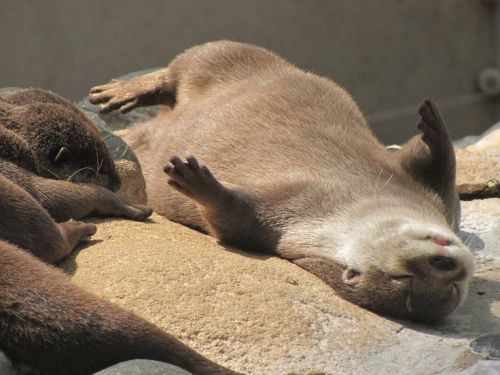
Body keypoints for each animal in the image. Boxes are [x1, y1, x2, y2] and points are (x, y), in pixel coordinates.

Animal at [91, 41, 476, 324]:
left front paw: (199, 184)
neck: (352, 201)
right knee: (189, 62)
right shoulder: (415, 185)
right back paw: (121, 92)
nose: (448, 264)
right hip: (237, 58)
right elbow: (438, 168)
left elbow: (229, 219)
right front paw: (434, 126)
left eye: (451, 289)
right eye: (406, 278)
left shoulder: (279, 222)